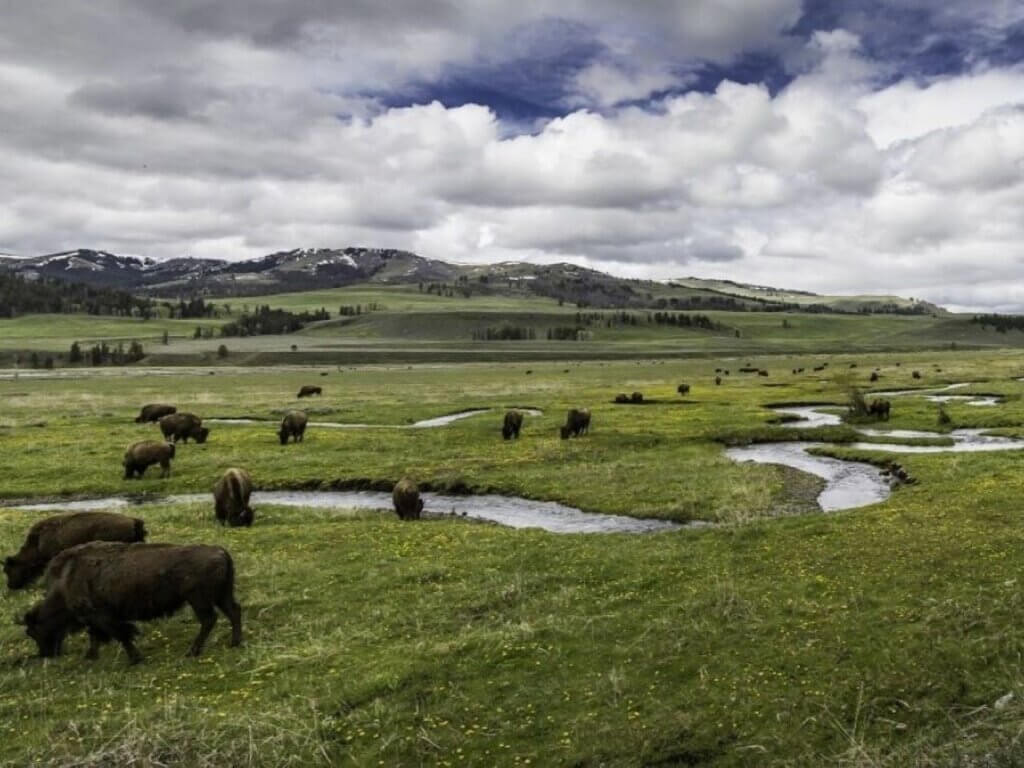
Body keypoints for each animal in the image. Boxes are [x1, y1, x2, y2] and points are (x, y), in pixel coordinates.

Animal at [23, 540, 242, 667]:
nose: (46, 654)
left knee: (209, 619)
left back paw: (192, 652)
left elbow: (122, 635)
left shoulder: (102, 617)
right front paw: (90, 656)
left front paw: (135, 659)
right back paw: (234, 643)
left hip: (199, 599)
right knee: (233, 612)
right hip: (221, 595)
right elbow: (96, 636)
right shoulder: (96, 620)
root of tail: (221, 552)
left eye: (34, 631)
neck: (66, 580)